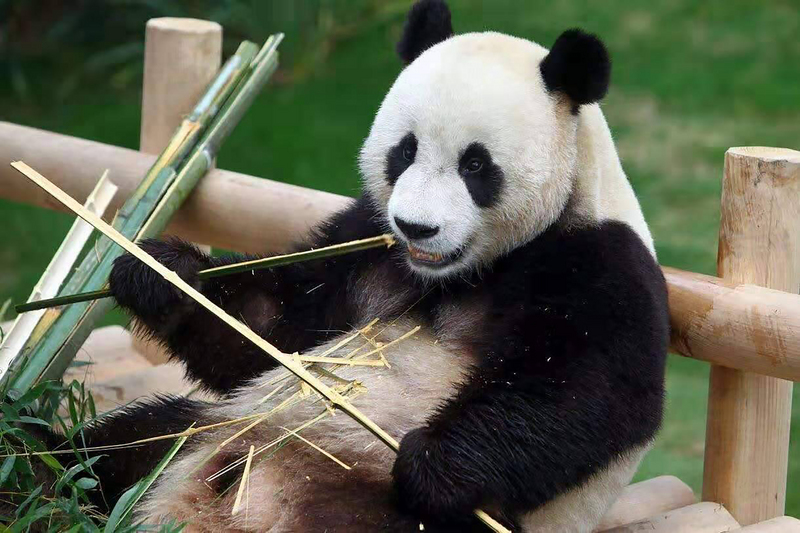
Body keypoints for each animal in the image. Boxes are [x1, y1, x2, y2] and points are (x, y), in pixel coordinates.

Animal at [40, 1, 669, 531]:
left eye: (475, 165)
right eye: (405, 151)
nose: (416, 227)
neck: (456, 274)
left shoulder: (599, 261)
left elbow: (584, 390)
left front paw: (436, 464)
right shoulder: (367, 242)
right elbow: (272, 336)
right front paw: (161, 273)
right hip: (205, 431)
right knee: (115, 447)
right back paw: (44, 479)